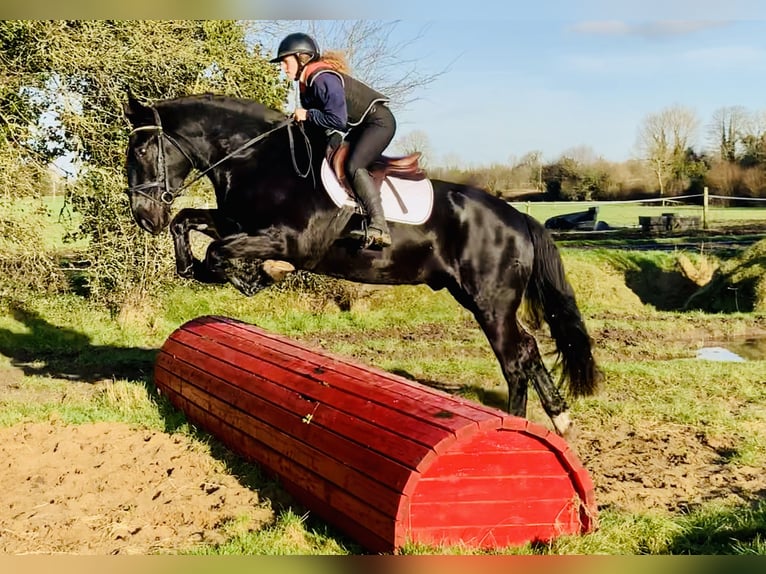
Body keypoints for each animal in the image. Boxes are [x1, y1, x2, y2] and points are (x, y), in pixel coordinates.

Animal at [123, 93, 604, 436]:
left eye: (143, 149)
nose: (144, 216)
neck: (254, 160)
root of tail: (519, 217)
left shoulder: (290, 239)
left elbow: (218, 252)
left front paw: (257, 275)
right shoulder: (236, 223)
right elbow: (188, 224)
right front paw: (205, 269)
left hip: (491, 302)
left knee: (514, 357)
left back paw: (517, 424)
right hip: (477, 298)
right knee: (528, 348)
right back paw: (558, 419)